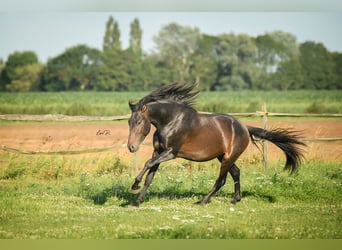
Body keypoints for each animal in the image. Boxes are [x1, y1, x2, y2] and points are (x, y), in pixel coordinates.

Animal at [127, 82, 306, 207]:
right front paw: (137, 201)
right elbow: (150, 176)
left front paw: (134, 185)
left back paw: (203, 201)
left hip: (228, 158)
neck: (171, 121)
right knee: (236, 172)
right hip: (223, 157)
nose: (131, 147)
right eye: (129, 122)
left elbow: (147, 164)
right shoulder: (158, 152)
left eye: (138, 121)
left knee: (221, 180)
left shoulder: (171, 152)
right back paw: (235, 199)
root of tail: (245, 128)